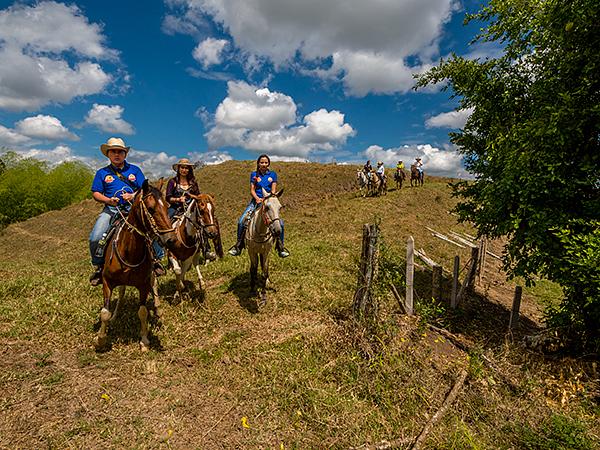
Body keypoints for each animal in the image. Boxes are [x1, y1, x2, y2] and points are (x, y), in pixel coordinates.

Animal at [94, 179, 176, 352]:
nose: (171, 239)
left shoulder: (143, 284)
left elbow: (143, 311)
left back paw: (158, 310)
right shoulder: (107, 281)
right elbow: (105, 312)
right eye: (151, 209)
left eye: (167, 207)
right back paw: (115, 315)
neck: (129, 251)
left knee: (154, 285)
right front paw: (100, 340)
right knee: (122, 293)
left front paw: (144, 340)